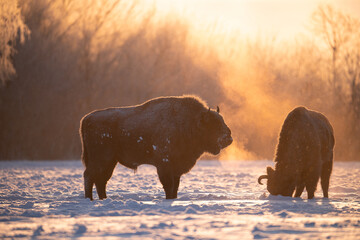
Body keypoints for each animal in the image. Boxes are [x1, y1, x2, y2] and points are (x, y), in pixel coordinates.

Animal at [79, 95, 233, 199]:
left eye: (222, 121)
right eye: (213, 124)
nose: (228, 138)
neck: (190, 123)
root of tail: (86, 118)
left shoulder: (176, 169)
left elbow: (175, 186)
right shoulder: (165, 165)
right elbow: (169, 185)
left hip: (110, 161)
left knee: (101, 180)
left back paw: (103, 198)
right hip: (102, 159)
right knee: (90, 176)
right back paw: (90, 199)